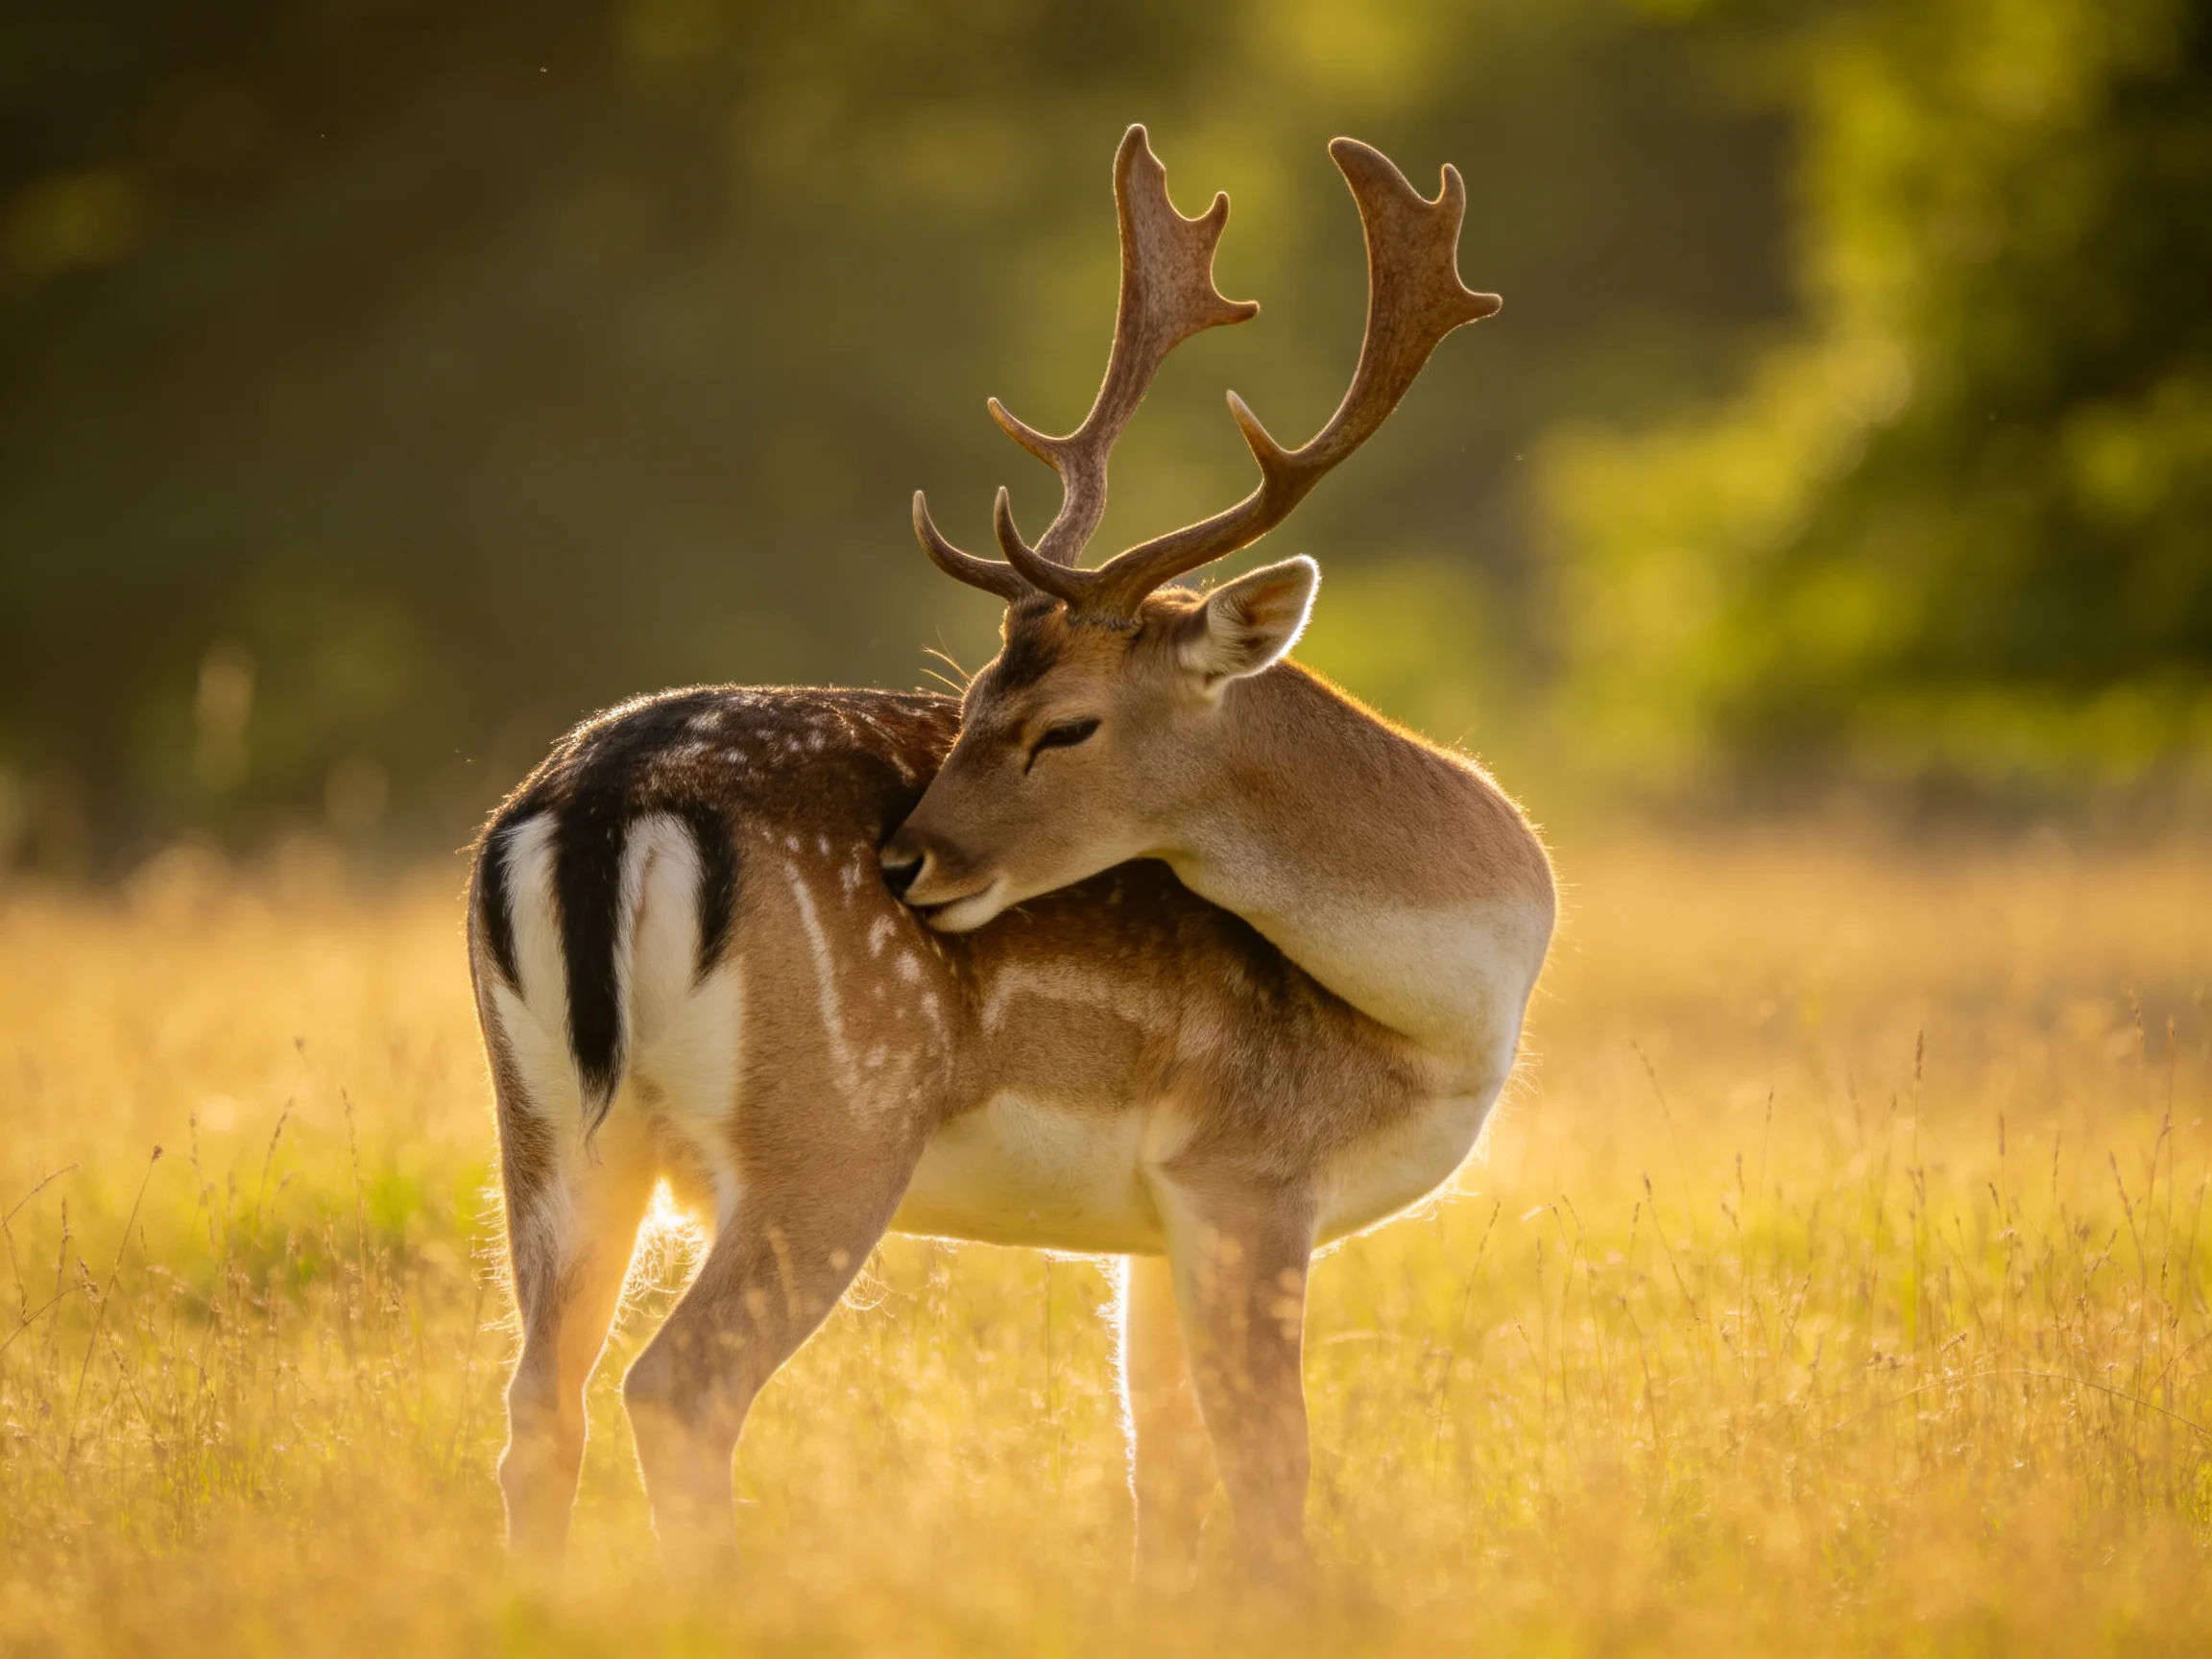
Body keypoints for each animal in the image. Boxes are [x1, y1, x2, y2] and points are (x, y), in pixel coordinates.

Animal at [466, 124, 1554, 1585]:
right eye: (977, 701)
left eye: (1050, 718)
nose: (908, 862)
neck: (1456, 1008)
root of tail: (593, 800)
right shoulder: (1250, 1171)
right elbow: (1272, 1471)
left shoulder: (1157, 1223)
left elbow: (1164, 1469)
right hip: (834, 1126)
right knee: (675, 1388)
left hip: (547, 1129)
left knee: (539, 1401)